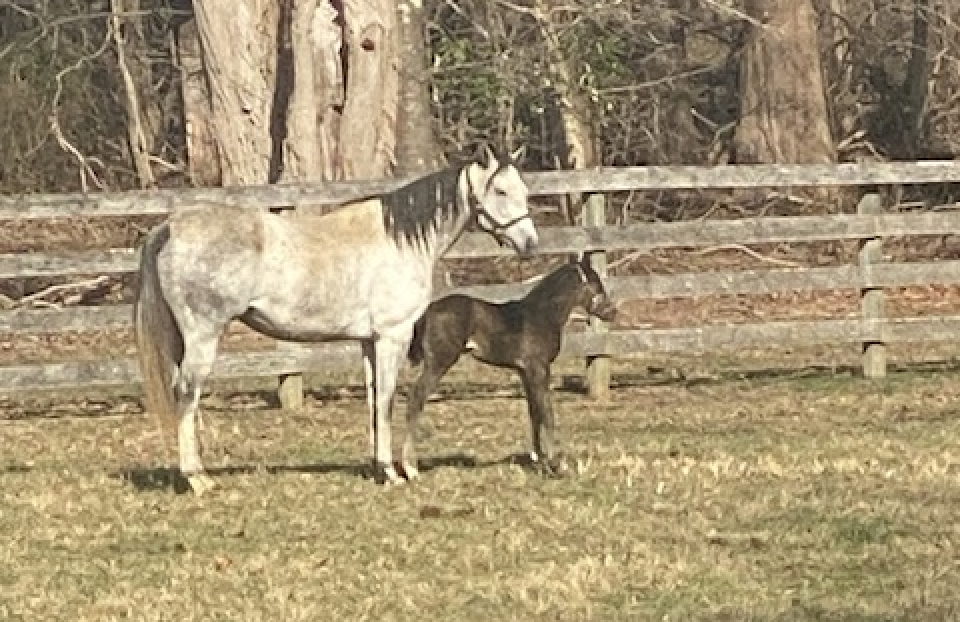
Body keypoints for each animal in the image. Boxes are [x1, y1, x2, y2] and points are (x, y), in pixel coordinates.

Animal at [133, 145, 538, 493]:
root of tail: (171, 226)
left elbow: (374, 401)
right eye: (500, 190)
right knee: (187, 394)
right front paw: (393, 472)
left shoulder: (369, 342)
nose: (531, 244)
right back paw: (198, 479)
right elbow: (388, 399)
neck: (401, 241)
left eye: (523, 189)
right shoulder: (392, 336)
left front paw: (378, 468)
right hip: (203, 337)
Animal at [402, 254, 617, 476]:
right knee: (416, 398)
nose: (612, 312)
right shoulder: (539, 368)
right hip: (439, 362)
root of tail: (425, 313)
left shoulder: (524, 371)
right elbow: (547, 413)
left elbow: (534, 412)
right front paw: (556, 464)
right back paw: (411, 468)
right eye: (596, 284)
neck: (542, 314)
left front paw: (538, 458)